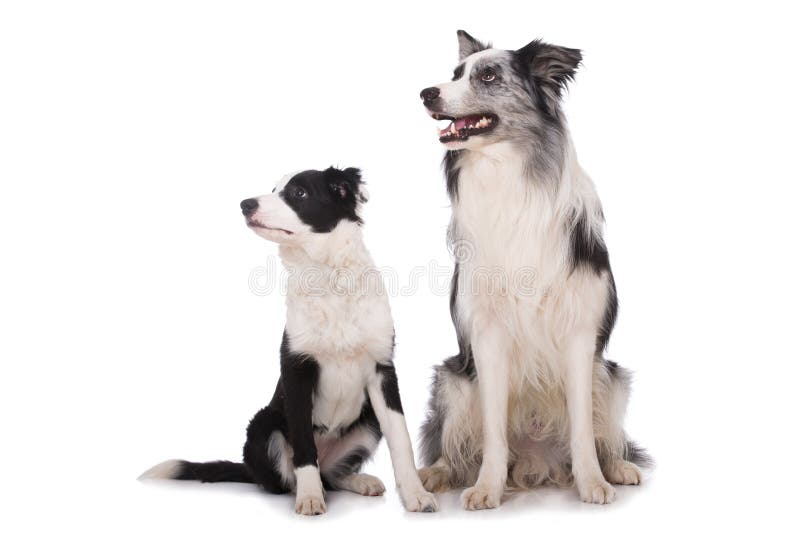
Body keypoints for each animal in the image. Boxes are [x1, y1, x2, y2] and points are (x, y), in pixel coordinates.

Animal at [139, 170, 438, 516]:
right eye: (273, 189)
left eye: (299, 193)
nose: (245, 204)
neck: (328, 277)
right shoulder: (297, 369)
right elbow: (304, 448)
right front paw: (309, 498)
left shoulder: (382, 369)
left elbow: (401, 439)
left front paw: (416, 495)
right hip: (263, 425)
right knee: (287, 479)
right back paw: (310, 489)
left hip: (369, 421)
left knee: (332, 474)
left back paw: (359, 481)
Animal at [416, 30, 648, 510]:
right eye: (455, 74)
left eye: (488, 76)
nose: (426, 93)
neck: (508, 174)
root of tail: (536, 459)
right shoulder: (486, 335)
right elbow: (492, 432)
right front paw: (487, 487)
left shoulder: (580, 334)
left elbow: (583, 428)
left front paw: (592, 483)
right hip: (452, 378)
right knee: (452, 444)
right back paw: (437, 473)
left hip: (612, 376)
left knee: (607, 435)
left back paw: (618, 467)